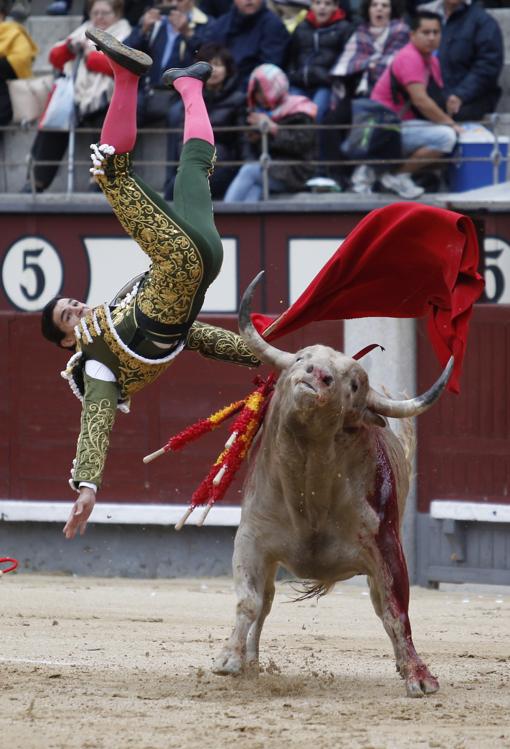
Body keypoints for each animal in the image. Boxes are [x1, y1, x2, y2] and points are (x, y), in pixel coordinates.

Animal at [213, 272, 452, 700]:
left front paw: (419, 676)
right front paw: (230, 659)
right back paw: (251, 662)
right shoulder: (252, 539)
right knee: (266, 602)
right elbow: (249, 601)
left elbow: (396, 612)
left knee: (380, 607)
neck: (310, 490)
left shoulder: (387, 547)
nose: (316, 376)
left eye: (354, 383)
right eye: (301, 358)